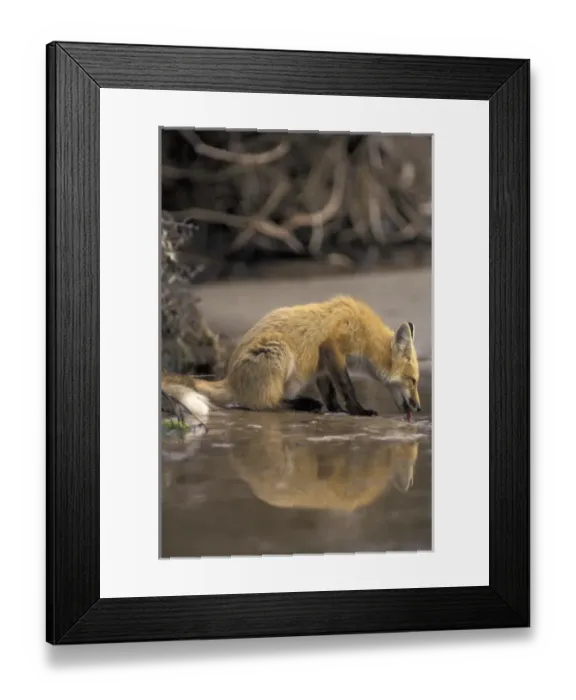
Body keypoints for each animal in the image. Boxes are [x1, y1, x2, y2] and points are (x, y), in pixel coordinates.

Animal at [161, 295, 422, 420]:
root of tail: (230, 377)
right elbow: (346, 386)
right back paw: (304, 404)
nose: (419, 408)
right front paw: (358, 411)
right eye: (413, 381)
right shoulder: (332, 346)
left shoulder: (322, 364)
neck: (364, 332)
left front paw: (336, 409)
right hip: (280, 352)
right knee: (265, 404)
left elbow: (330, 390)